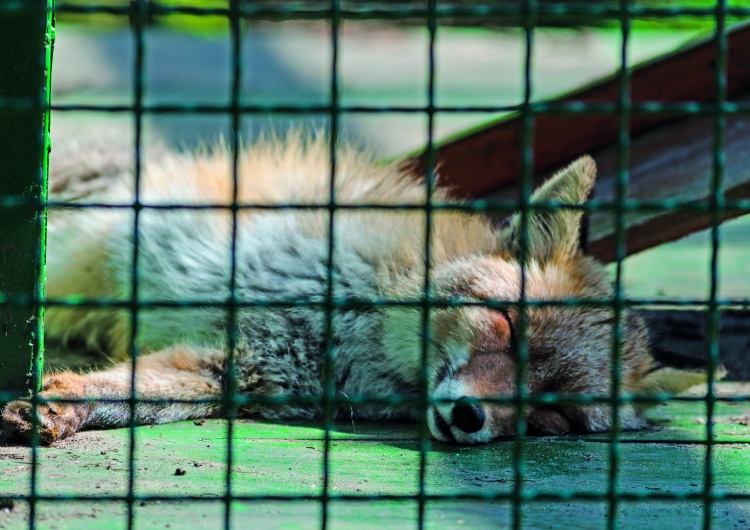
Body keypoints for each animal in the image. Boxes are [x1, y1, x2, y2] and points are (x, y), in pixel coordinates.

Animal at [2, 135, 712, 442]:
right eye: (506, 323)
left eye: (556, 411)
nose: (469, 416)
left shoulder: (231, 368)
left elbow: (128, 395)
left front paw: (61, 409)